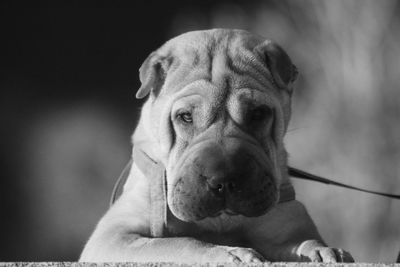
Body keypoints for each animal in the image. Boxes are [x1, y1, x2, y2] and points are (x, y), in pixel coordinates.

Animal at [79, 28, 354, 264]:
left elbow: (308, 241)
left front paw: (325, 251)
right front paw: (231, 253)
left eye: (258, 114)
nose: (223, 180)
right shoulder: (113, 237)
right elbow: (180, 243)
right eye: (185, 117)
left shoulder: (286, 226)